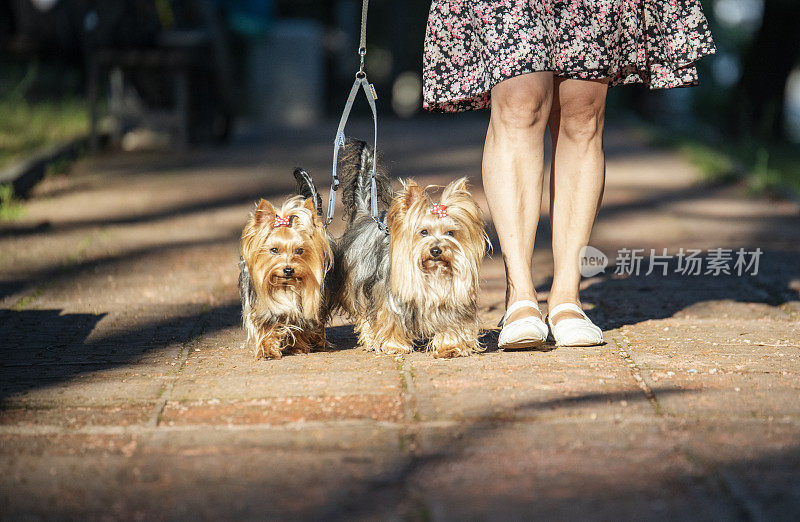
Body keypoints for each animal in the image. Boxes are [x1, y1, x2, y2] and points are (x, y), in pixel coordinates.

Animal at [241, 169, 334, 356]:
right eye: (274, 250)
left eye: (299, 250)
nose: (288, 270)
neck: (285, 286)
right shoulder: (260, 308)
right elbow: (266, 326)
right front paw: (268, 348)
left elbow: (300, 327)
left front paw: (297, 346)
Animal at [336, 140, 490, 356]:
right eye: (423, 232)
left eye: (450, 233)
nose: (436, 250)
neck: (434, 273)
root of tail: (364, 216)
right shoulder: (390, 299)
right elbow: (390, 319)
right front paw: (394, 346)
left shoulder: (453, 303)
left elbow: (452, 324)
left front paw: (451, 346)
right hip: (358, 284)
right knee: (364, 313)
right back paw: (371, 340)